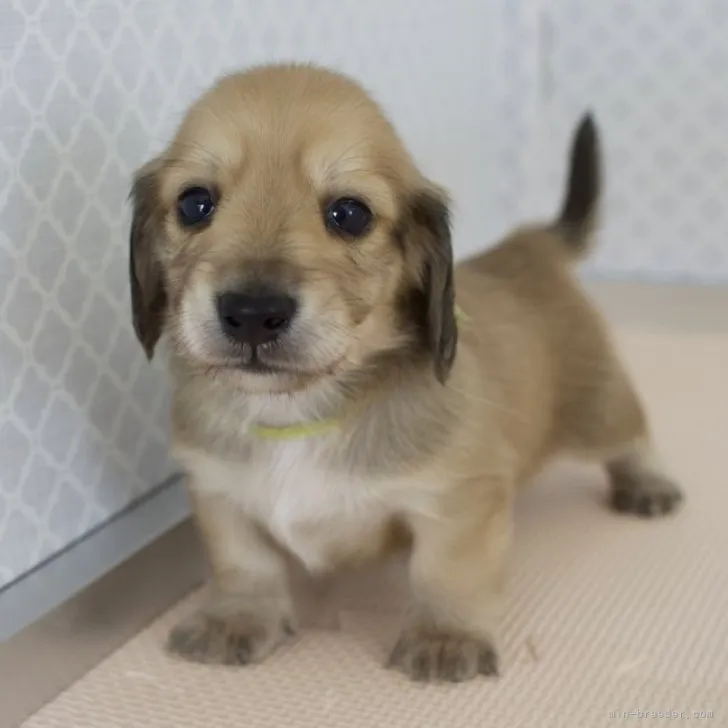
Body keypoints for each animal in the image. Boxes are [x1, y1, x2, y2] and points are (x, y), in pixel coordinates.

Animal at [129, 64, 684, 684]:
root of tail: (529, 244)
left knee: (633, 432)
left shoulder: (459, 500)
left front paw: (446, 636)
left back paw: (647, 483)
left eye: (350, 214)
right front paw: (238, 617)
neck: (298, 413)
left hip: (596, 408)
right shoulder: (219, 492)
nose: (251, 312)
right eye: (194, 203)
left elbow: (446, 572)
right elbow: (244, 563)